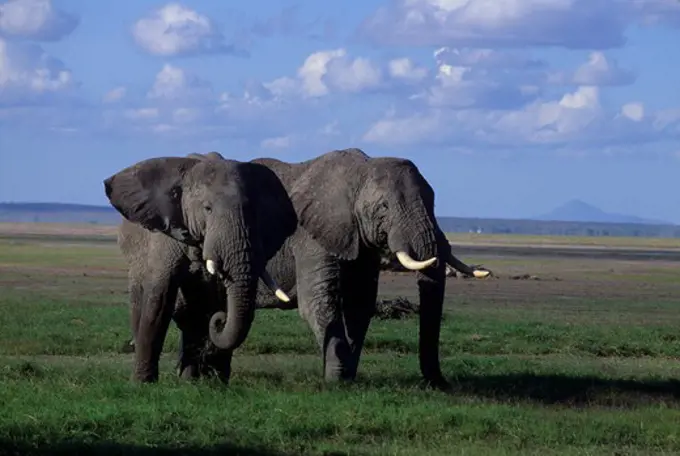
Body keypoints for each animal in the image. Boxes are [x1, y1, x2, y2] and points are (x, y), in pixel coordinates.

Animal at [105, 152, 296, 382]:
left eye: (253, 212)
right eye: (207, 208)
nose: (220, 321)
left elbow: (220, 297)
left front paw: (217, 383)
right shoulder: (163, 237)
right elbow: (159, 298)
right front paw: (143, 383)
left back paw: (191, 379)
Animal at [160, 148, 492, 390]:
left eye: (434, 202)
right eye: (384, 207)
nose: (441, 384)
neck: (359, 172)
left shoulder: (359, 241)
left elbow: (360, 303)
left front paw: (347, 376)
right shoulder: (311, 235)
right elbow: (319, 302)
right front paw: (336, 381)